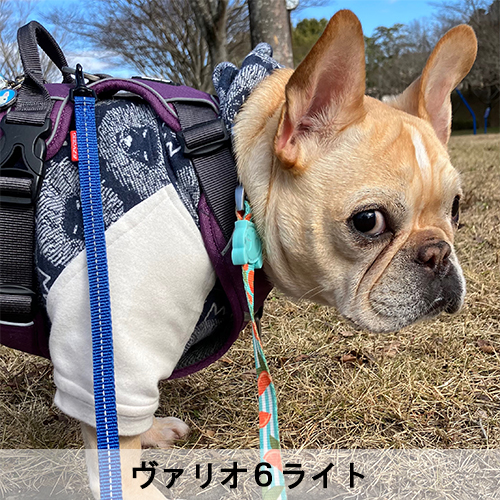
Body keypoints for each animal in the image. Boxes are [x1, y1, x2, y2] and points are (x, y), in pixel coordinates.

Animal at [69, 9, 477, 499]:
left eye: (456, 209)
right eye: (368, 222)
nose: (439, 254)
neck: (227, 172)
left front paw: (149, 431)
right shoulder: (115, 338)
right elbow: (114, 431)